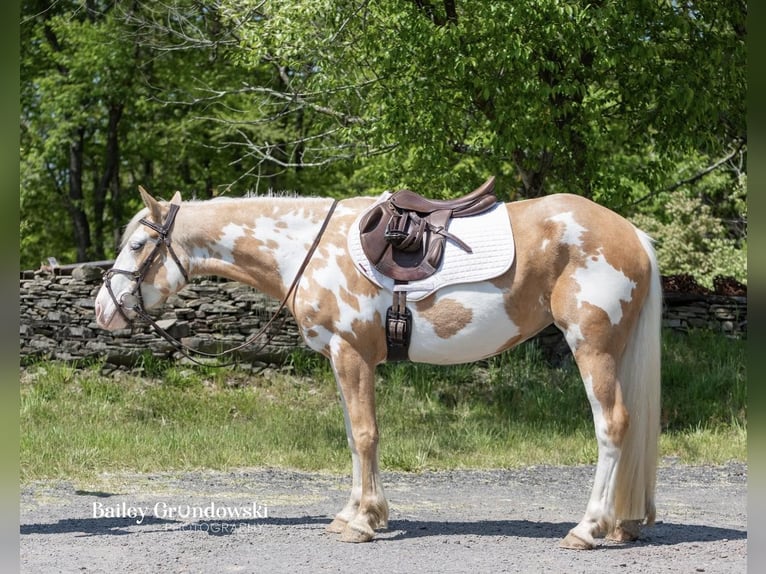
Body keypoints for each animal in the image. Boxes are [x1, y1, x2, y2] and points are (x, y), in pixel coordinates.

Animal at [94, 182, 660, 552]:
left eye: (139, 245)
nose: (103, 310)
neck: (308, 248)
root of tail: (631, 233)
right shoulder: (344, 359)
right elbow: (353, 436)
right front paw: (358, 513)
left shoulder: (352, 354)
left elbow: (365, 434)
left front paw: (362, 523)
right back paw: (623, 524)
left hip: (592, 347)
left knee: (612, 426)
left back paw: (587, 529)